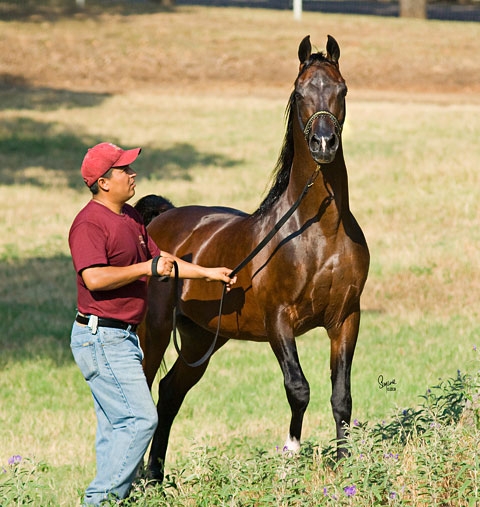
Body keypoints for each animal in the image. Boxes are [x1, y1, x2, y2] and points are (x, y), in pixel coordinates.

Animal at [137, 34, 370, 481]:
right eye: (300, 92)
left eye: (343, 89)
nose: (324, 144)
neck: (319, 232)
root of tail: (157, 222)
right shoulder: (279, 320)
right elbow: (298, 388)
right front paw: (290, 454)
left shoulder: (346, 318)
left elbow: (342, 396)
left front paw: (344, 467)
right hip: (151, 332)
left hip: (200, 338)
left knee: (169, 393)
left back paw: (154, 478)